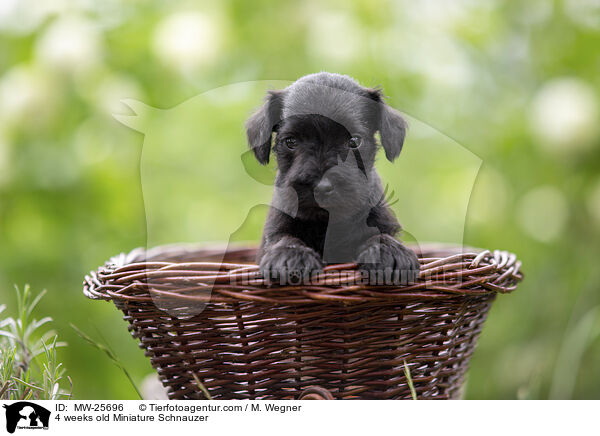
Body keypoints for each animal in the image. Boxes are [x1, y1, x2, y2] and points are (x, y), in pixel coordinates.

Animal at [246, 73, 420, 284]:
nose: (322, 187)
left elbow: (382, 235)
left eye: (354, 141)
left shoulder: (383, 223)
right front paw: (289, 255)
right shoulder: (276, 227)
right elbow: (282, 238)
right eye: (290, 141)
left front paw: (390, 252)